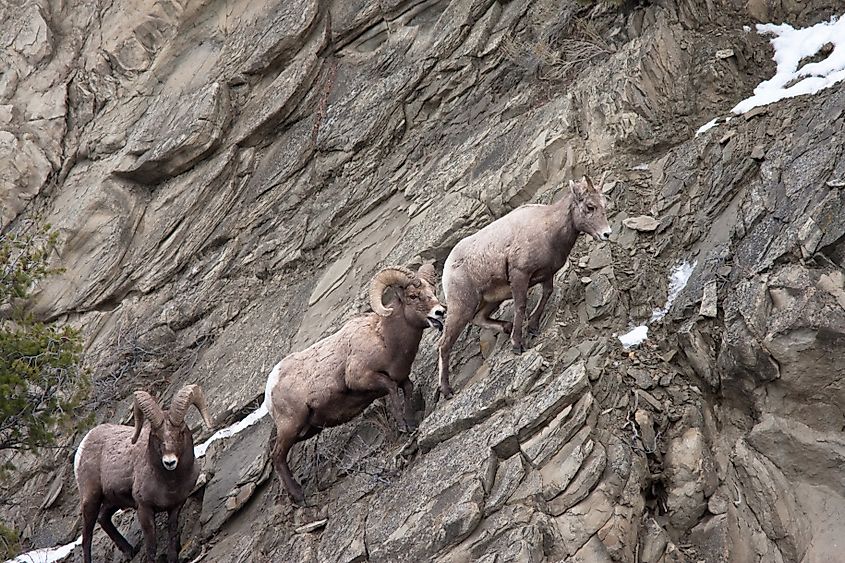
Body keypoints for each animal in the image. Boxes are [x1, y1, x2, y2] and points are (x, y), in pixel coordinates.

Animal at [74, 384, 214, 563]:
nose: (169, 462)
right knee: (87, 537)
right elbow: (151, 544)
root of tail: (85, 441)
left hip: (113, 501)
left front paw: (172, 557)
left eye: (181, 432)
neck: (170, 484)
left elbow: (172, 532)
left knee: (103, 518)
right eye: (154, 434)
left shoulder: (176, 506)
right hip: (91, 499)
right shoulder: (144, 509)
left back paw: (129, 551)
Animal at [264, 264, 445, 503]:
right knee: (277, 457)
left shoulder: (401, 376)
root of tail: (271, 386)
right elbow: (391, 390)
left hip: (305, 429)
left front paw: (411, 422)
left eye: (432, 291)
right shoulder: (363, 378)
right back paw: (299, 496)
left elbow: (407, 389)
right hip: (291, 426)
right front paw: (402, 426)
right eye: (413, 296)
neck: (385, 339)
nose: (440, 312)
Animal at [437, 174, 612, 398]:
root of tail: (448, 266)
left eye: (604, 204)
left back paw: (506, 326)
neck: (548, 228)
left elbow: (547, 294)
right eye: (590, 206)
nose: (607, 234)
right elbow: (521, 306)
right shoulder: (520, 275)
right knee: (444, 345)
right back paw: (446, 390)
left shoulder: (546, 274)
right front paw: (517, 344)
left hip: (491, 299)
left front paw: (533, 327)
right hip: (462, 306)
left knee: (478, 318)